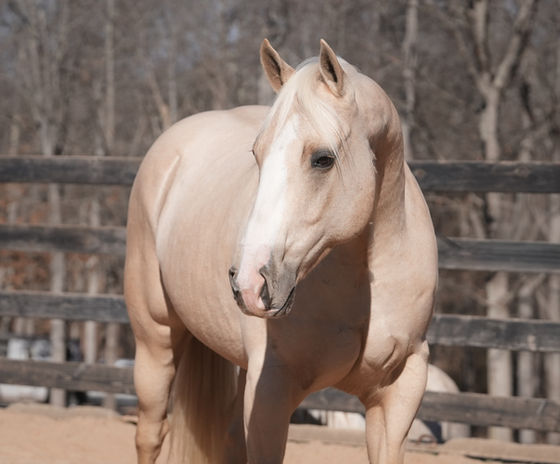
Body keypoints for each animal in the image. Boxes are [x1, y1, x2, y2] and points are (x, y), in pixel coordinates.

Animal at [124, 39, 438, 464]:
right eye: (257, 155)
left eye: (323, 159)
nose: (249, 282)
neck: (363, 284)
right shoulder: (270, 394)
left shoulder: (399, 394)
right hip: (155, 342)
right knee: (150, 433)